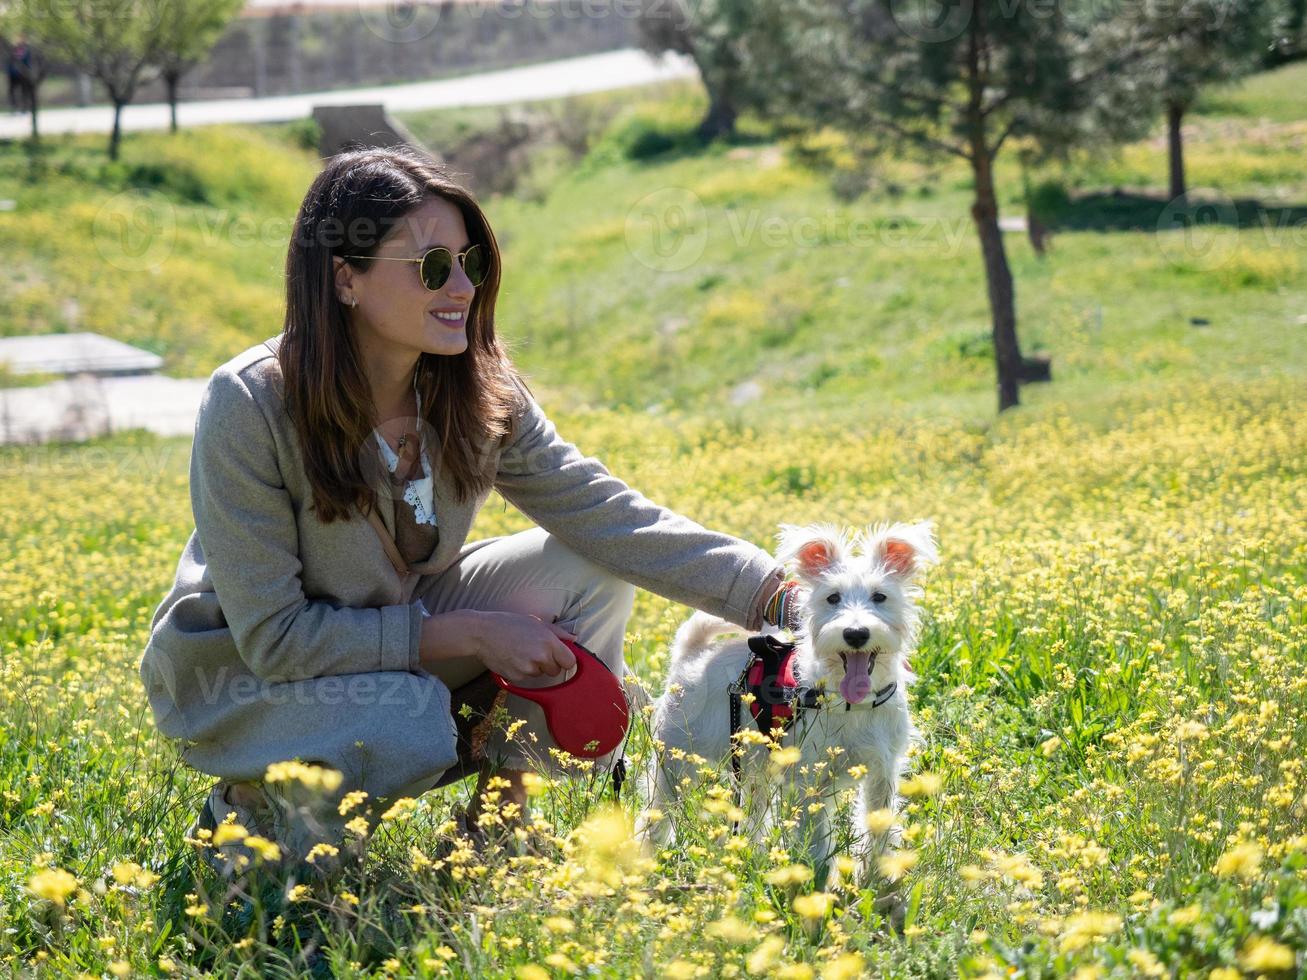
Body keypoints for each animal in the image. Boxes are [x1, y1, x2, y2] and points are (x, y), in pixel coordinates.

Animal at [635, 522, 935, 888]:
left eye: (880, 596)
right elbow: (817, 839)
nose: (855, 633)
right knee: (656, 814)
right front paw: (816, 884)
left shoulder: (882, 772)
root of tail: (692, 654)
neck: (852, 704)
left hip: (754, 769)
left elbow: (877, 827)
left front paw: (876, 880)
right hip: (675, 766)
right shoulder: (811, 783)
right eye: (832, 598)